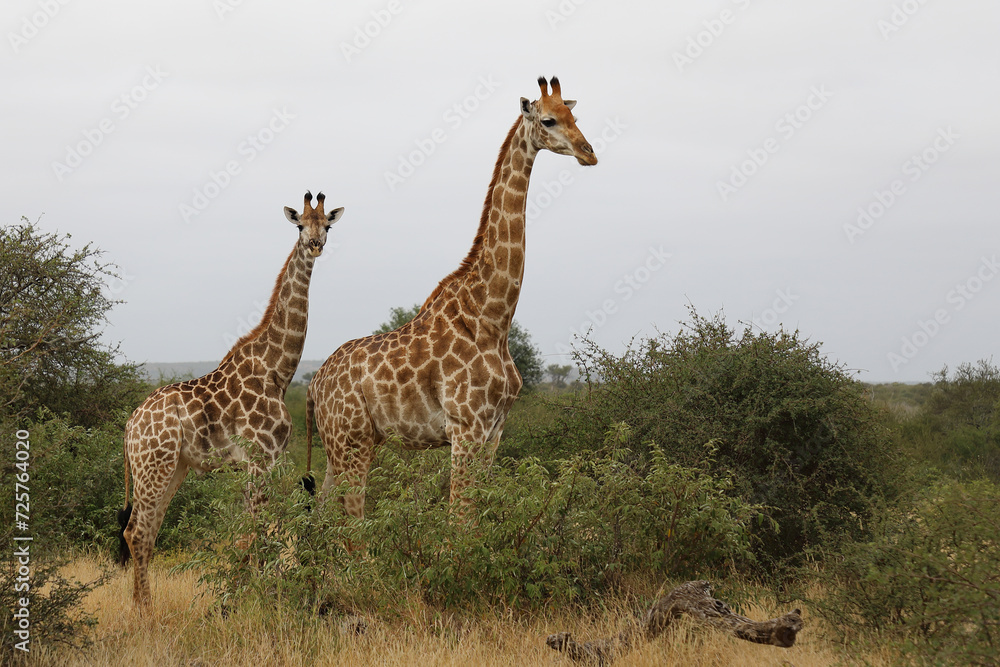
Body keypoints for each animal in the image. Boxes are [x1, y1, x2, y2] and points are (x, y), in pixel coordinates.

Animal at [119, 191, 344, 608]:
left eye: (328, 225)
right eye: (299, 225)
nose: (315, 245)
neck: (278, 370)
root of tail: (129, 426)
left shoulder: (260, 463)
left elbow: (249, 533)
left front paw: (242, 600)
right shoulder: (260, 459)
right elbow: (256, 533)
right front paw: (255, 602)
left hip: (173, 468)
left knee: (145, 531)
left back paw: (144, 606)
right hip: (153, 466)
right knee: (137, 532)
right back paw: (145, 612)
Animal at [306, 76, 596, 518]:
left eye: (574, 116)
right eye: (548, 119)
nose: (588, 152)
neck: (492, 317)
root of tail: (314, 384)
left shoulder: (494, 430)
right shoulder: (466, 427)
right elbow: (459, 518)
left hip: (342, 445)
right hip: (351, 442)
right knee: (352, 519)